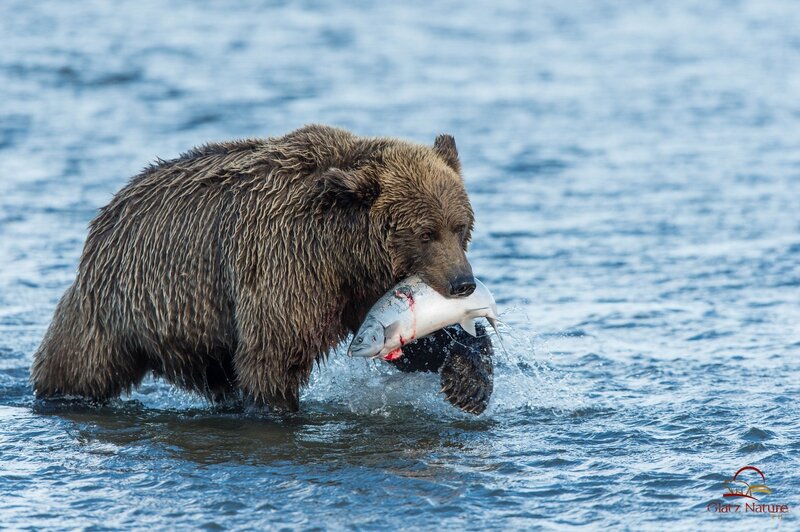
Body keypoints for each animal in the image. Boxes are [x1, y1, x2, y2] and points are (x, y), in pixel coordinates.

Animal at [31, 124, 490, 412]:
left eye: (459, 226)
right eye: (426, 232)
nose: (463, 283)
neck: (344, 251)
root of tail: (107, 212)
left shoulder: (356, 291)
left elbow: (414, 342)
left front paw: (468, 381)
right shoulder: (283, 264)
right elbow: (274, 356)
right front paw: (278, 407)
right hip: (122, 304)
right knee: (78, 364)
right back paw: (57, 394)